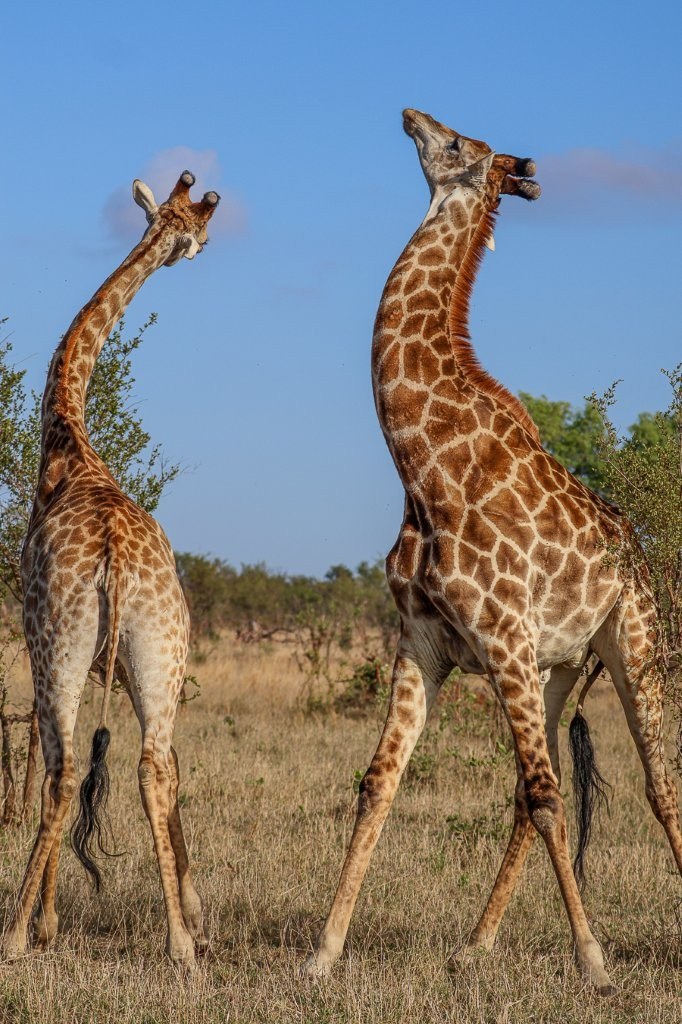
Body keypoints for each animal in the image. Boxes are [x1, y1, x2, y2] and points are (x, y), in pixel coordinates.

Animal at [1, 171, 220, 967]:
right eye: (189, 226)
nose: (200, 248)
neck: (68, 441)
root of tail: (117, 562)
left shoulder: (43, 639)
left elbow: (53, 766)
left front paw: (45, 923)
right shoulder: (125, 663)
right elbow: (174, 768)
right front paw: (191, 911)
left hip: (59, 646)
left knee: (65, 771)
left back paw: (13, 934)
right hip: (160, 648)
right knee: (154, 764)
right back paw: (182, 944)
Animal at [303, 109, 682, 994]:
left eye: (455, 146)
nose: (411, 114)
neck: (421, 463)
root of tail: (640, 556)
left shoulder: (502, 638)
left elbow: (548, 799)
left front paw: (594, 962)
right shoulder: (422, 642)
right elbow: (378, 784)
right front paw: (323, 953)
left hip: (632, 645)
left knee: (657, 784)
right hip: (558, 669)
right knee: (527, 788)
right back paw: (472, 946)